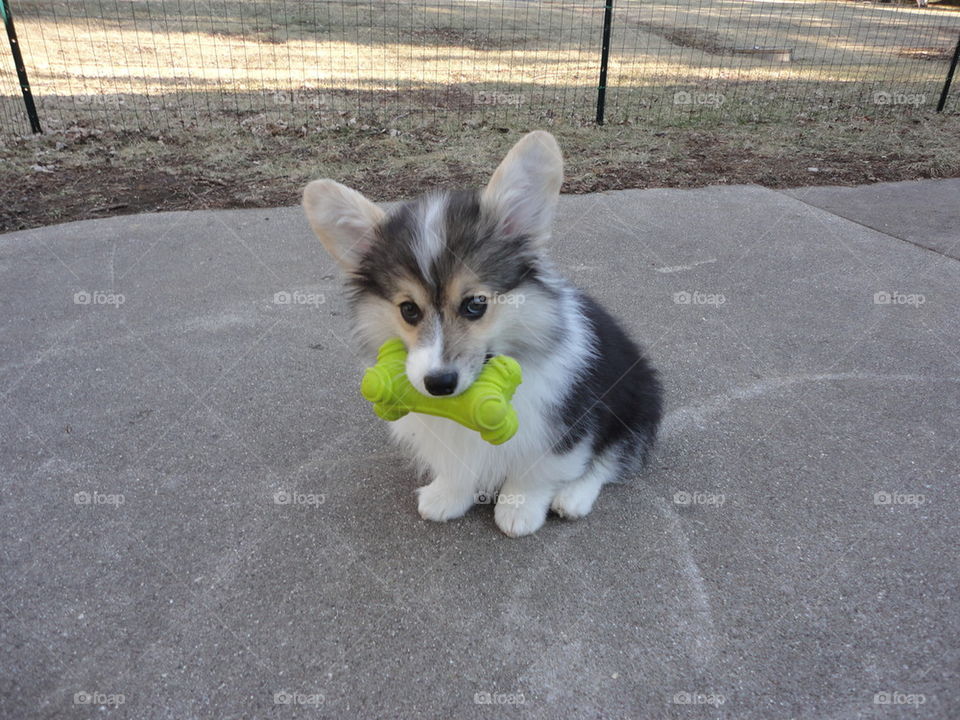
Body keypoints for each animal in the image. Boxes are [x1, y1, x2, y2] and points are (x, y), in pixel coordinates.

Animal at [304, 131, 664, 536]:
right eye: (408, 310)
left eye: (475, 304)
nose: (439, 384)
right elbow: (457, 467)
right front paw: (447, 497)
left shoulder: (564, 423)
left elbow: (539, 470)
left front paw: (519, 509)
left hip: (637, 402)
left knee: (613, 459)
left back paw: (573, 497)